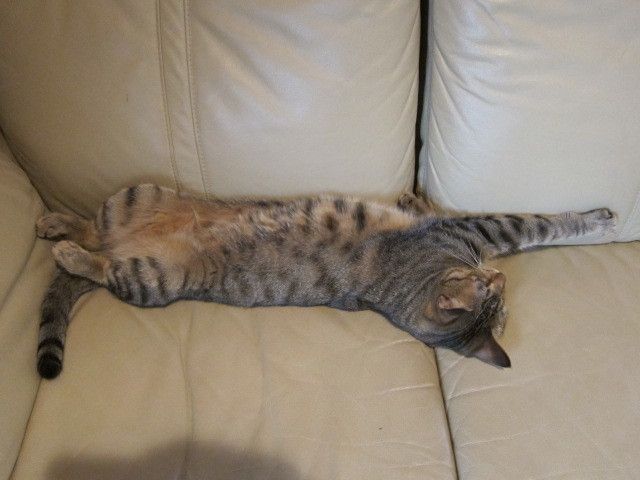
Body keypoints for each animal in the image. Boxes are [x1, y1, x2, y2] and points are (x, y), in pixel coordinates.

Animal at [35, 184, 616, 378]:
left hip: (146, 255)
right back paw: (58, 235)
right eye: (492, 291)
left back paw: (58, 233)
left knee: (98, 247)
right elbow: (539, 224)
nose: (497, 276)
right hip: (140, 228)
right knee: (96, 251)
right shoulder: (472, 228)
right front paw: (600, 217)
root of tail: (124, 241)